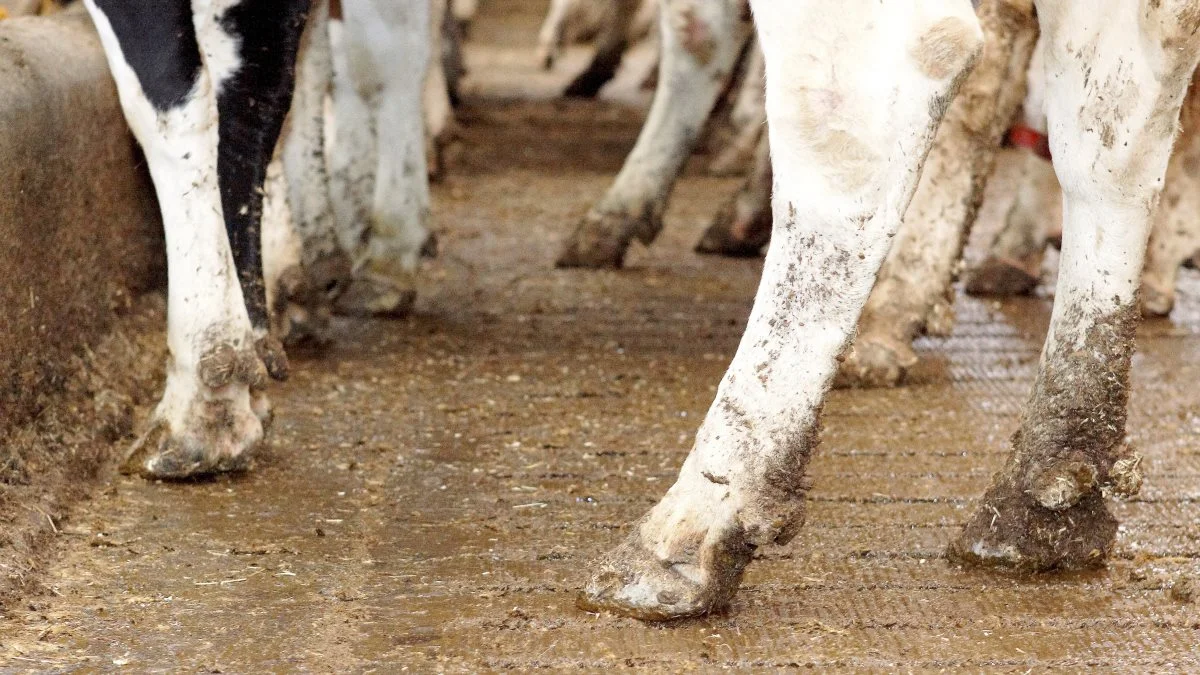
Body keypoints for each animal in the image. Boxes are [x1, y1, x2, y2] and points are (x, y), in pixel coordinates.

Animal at [576, 0, 1195, 619]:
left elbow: (695, 36)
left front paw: (621, 210)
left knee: (854, 124)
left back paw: (685, 533)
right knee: (1113, 124)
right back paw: (1039, 499)